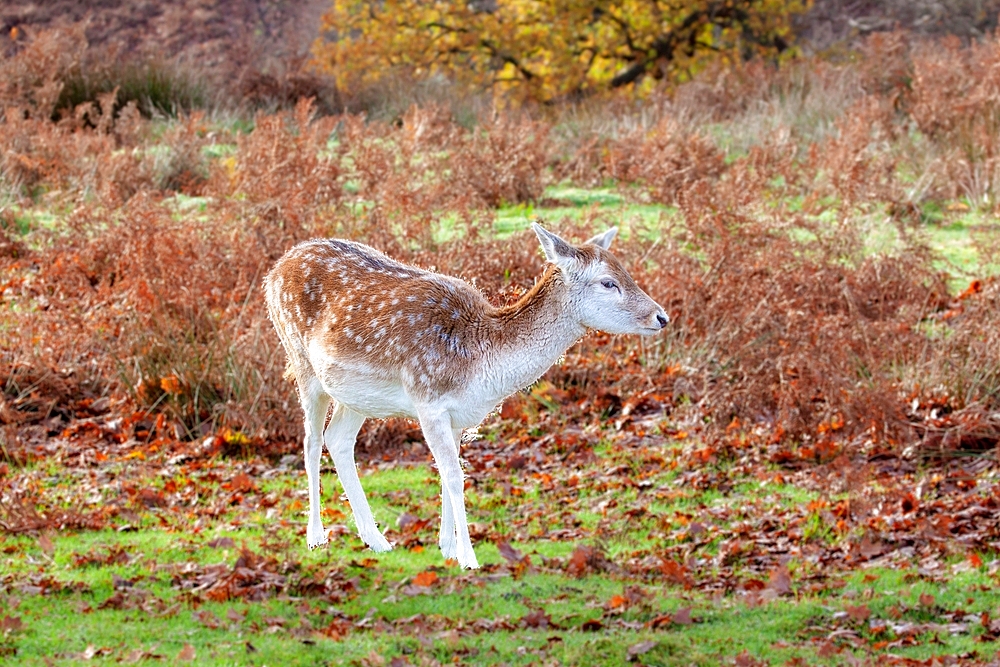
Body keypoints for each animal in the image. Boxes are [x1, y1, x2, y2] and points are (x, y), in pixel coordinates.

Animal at [266, 224, 668, 568]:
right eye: (608, 282)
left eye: (627, 272)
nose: (661, 316)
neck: (479, 369)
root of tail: (274, 270)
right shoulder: (427, 401)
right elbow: (455, 476)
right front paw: (469, 558)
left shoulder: (458, 415)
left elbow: (448, 474)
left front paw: (447, 548)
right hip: (300, 360)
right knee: (311, 441)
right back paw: (316, 536)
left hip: (356, 394)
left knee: (338, 439)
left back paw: (376, 540)